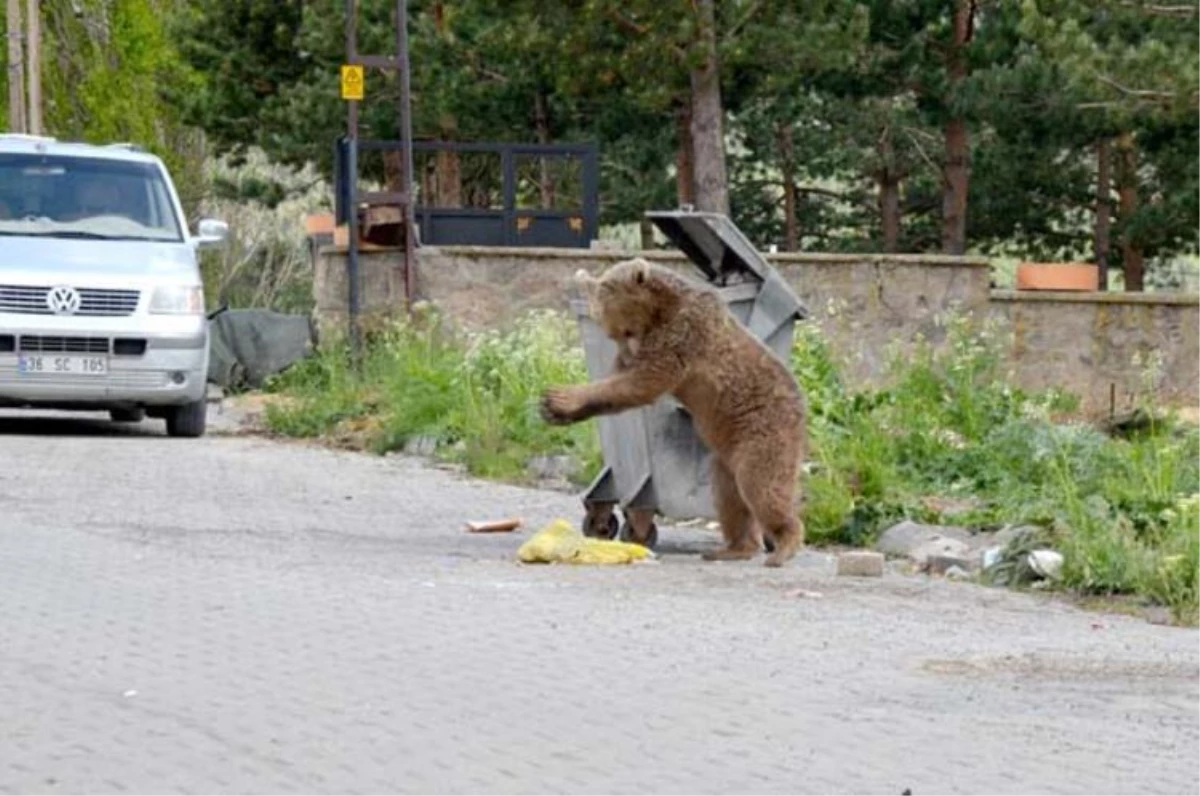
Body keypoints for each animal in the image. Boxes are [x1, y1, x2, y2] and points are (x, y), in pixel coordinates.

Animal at [542, 256, 806, 566]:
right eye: (612, 333)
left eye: (624, 330)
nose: (627, 352)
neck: (658, 313)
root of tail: (801, 407)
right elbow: (621, 387)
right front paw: (556, 411)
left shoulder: (681, 336)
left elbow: (643, 381)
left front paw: (561, 397)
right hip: (726, 453)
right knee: (730, 497)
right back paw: (732, 549)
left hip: (763, 429)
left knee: (761, 487)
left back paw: (783, 544)